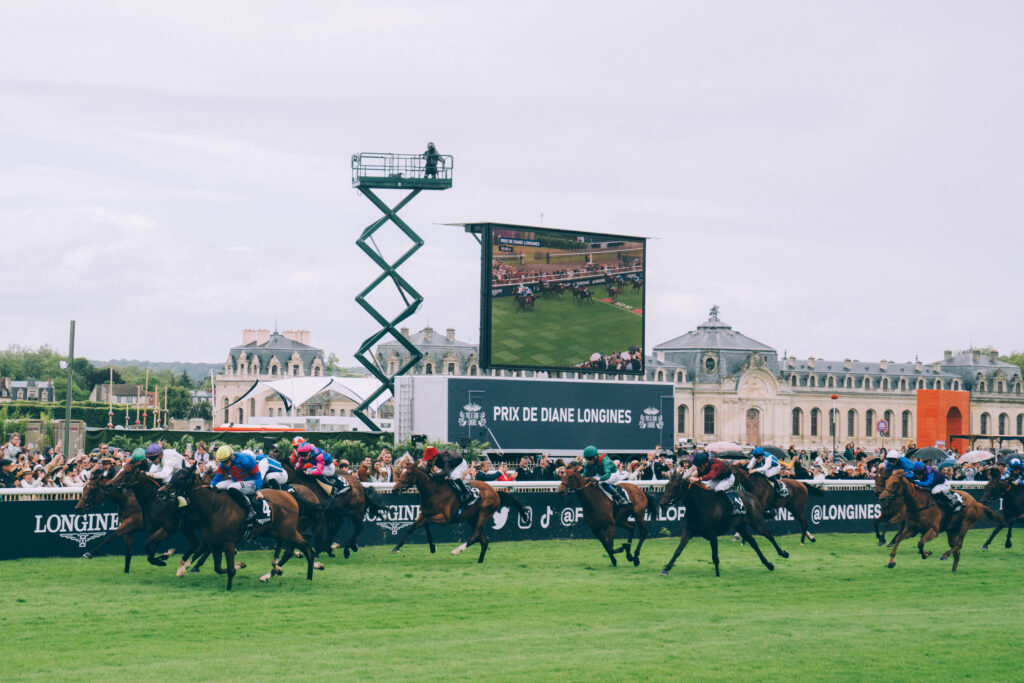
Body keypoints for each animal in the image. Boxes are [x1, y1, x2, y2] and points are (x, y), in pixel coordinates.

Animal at [158, 465, 314, 590]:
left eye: (181, 477)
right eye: (173, 474)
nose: (161, 491)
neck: (214, 507)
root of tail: (290, 495)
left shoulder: (228, 543)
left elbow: (230, 569)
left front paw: (229, 587)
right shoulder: (215, 543)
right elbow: (218, 568)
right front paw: (240, 565)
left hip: (288, 532)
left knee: (305, 546)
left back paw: (306, 575)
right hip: (273, 531)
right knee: (296, 546)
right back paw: (289, 571)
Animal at [390, 459, 527, 563]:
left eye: (408, 474)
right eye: (400, 472)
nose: (395, 489)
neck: (434, 492)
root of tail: (495, 491)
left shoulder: (445, 518)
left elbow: (427, 522)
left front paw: (433, 547)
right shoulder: (423, 514)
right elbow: (412, 528)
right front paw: (396, 547)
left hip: (484, 513)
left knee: (477, 535)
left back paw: (457, 550)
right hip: (472, 517)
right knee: (483, 540)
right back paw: (479, 561)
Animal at [658, 472, 789, 576]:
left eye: (675, 487)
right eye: (666, 485)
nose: (662, 504)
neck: (699, 505)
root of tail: (752, 496)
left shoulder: (712, 534)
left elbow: (715, 556)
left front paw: (717, 574)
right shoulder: (688, 531)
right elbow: (678, 551)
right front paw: (666, 569)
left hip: (757, 522)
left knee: (769, 534)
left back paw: (783, 553)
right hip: (741, 527)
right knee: (753, 543)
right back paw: (768, 564)